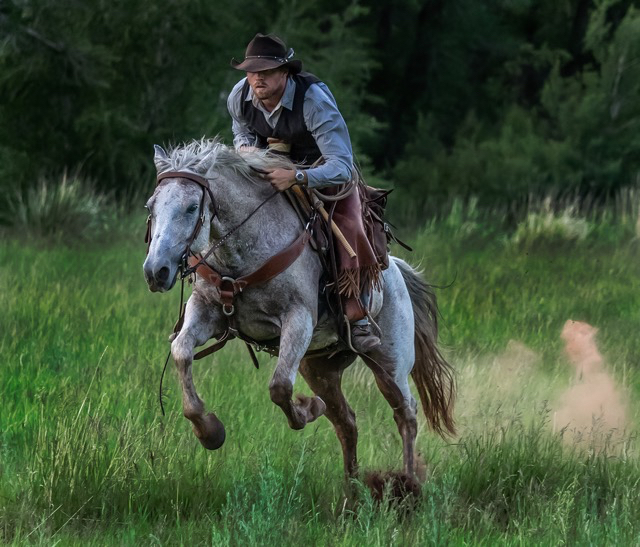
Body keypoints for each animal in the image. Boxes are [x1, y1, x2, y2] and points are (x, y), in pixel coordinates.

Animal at [145, 140, 456, 484]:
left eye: (190, 208)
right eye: (150, 207)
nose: (156, 271)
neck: (244, 250)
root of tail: (398, 271)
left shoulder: (298, 320)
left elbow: (280, 387)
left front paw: (307, 410)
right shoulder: (205, 310)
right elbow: (181, 352)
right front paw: (209, 432)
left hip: (391, 364)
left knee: (406, 414)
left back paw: (409, 484)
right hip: (320, 368)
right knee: (346, 422)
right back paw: (351, 491)